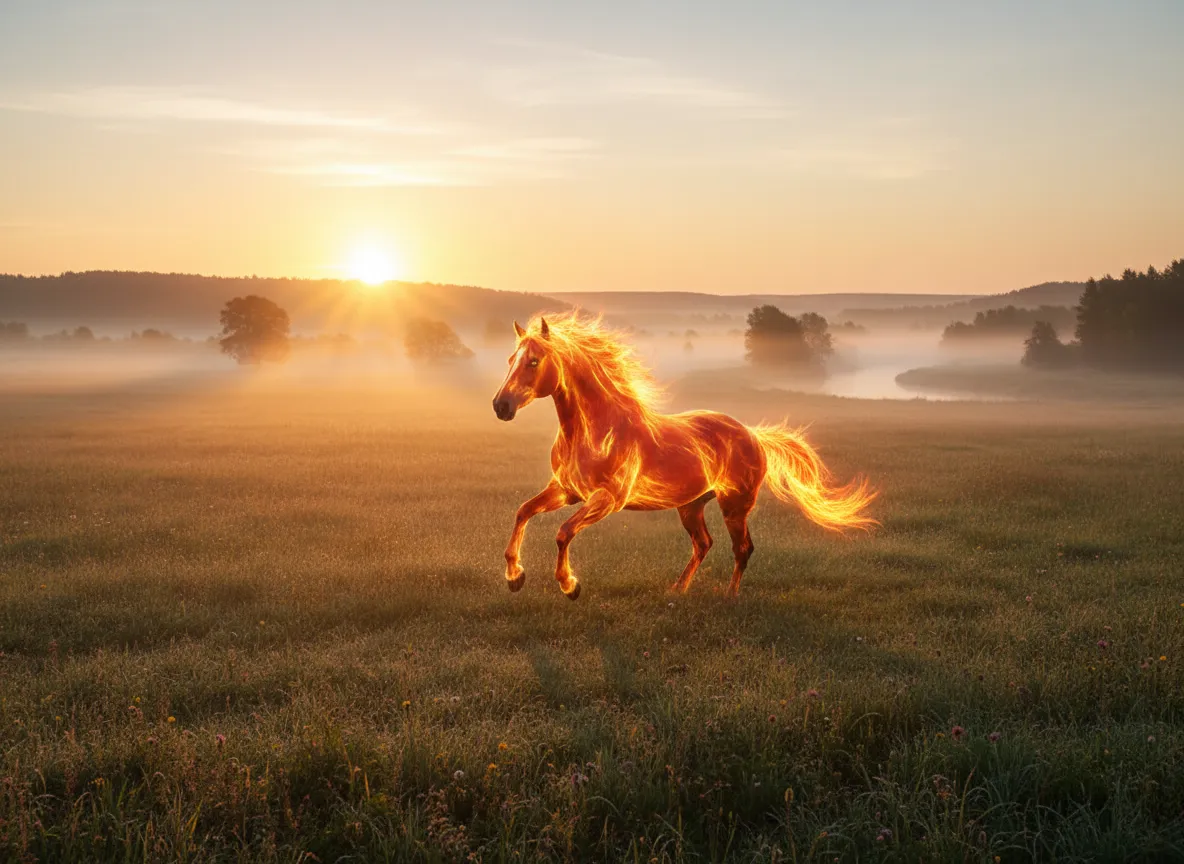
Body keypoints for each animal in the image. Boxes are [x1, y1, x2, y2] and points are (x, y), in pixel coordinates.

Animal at [491, 313, 876, 599]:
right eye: (510, 359)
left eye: (534, 361)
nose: (501, 406)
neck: (595, 430)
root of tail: (753, 434)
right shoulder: (567, 490)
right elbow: (523, 511)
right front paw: (514, 576)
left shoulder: (608, 499)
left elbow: (563, 531)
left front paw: (569, 585)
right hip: (691, 506)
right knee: (704, 545)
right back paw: (678, 589)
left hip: (734, 506)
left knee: (742, 548)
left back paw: (729, 596)